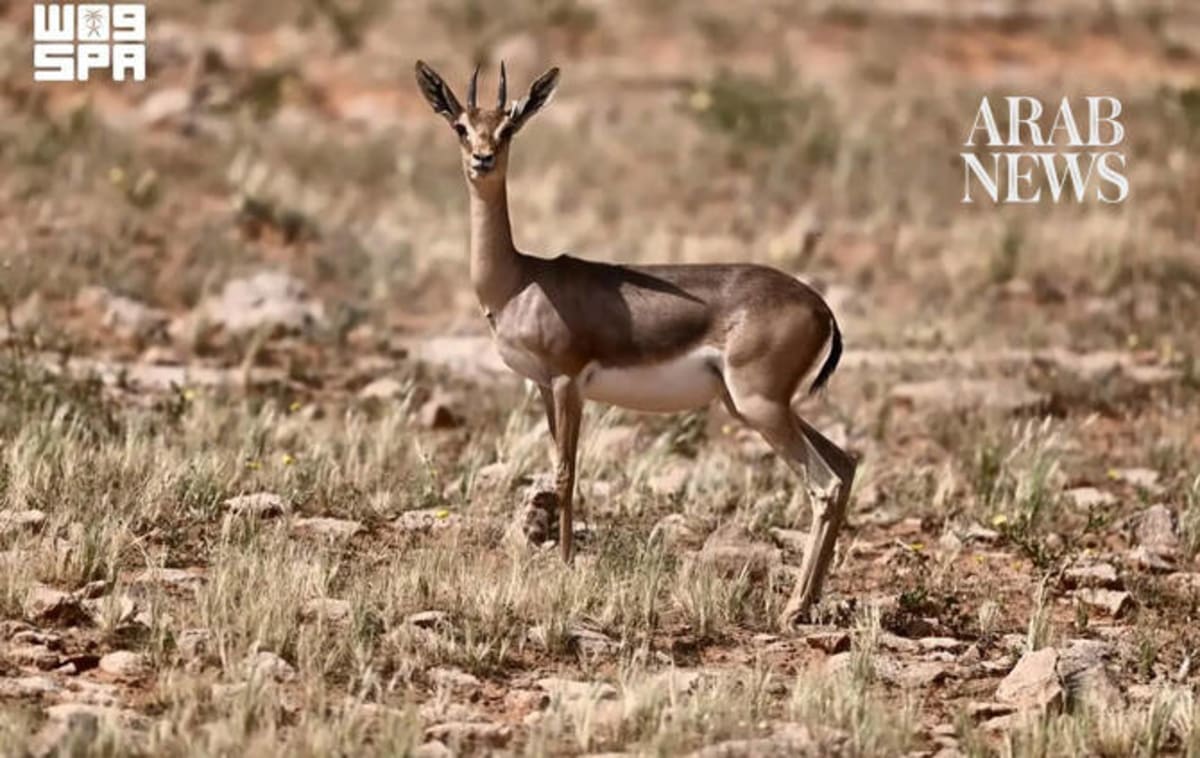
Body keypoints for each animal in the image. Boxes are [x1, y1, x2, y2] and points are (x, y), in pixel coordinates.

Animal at [414, 60, 856, 624]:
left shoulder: (568, 381)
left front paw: (565, 565)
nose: (482, 159)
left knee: (824, 485)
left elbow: (565, 473)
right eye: (461, 126)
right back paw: (810, 599)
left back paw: (793, 608)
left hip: (761, 407)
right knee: (846, 463)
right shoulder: (544, 387)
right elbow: (554, 470)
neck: (519, 280)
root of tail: (821, 307)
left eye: (509, 127)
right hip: (755, 406)